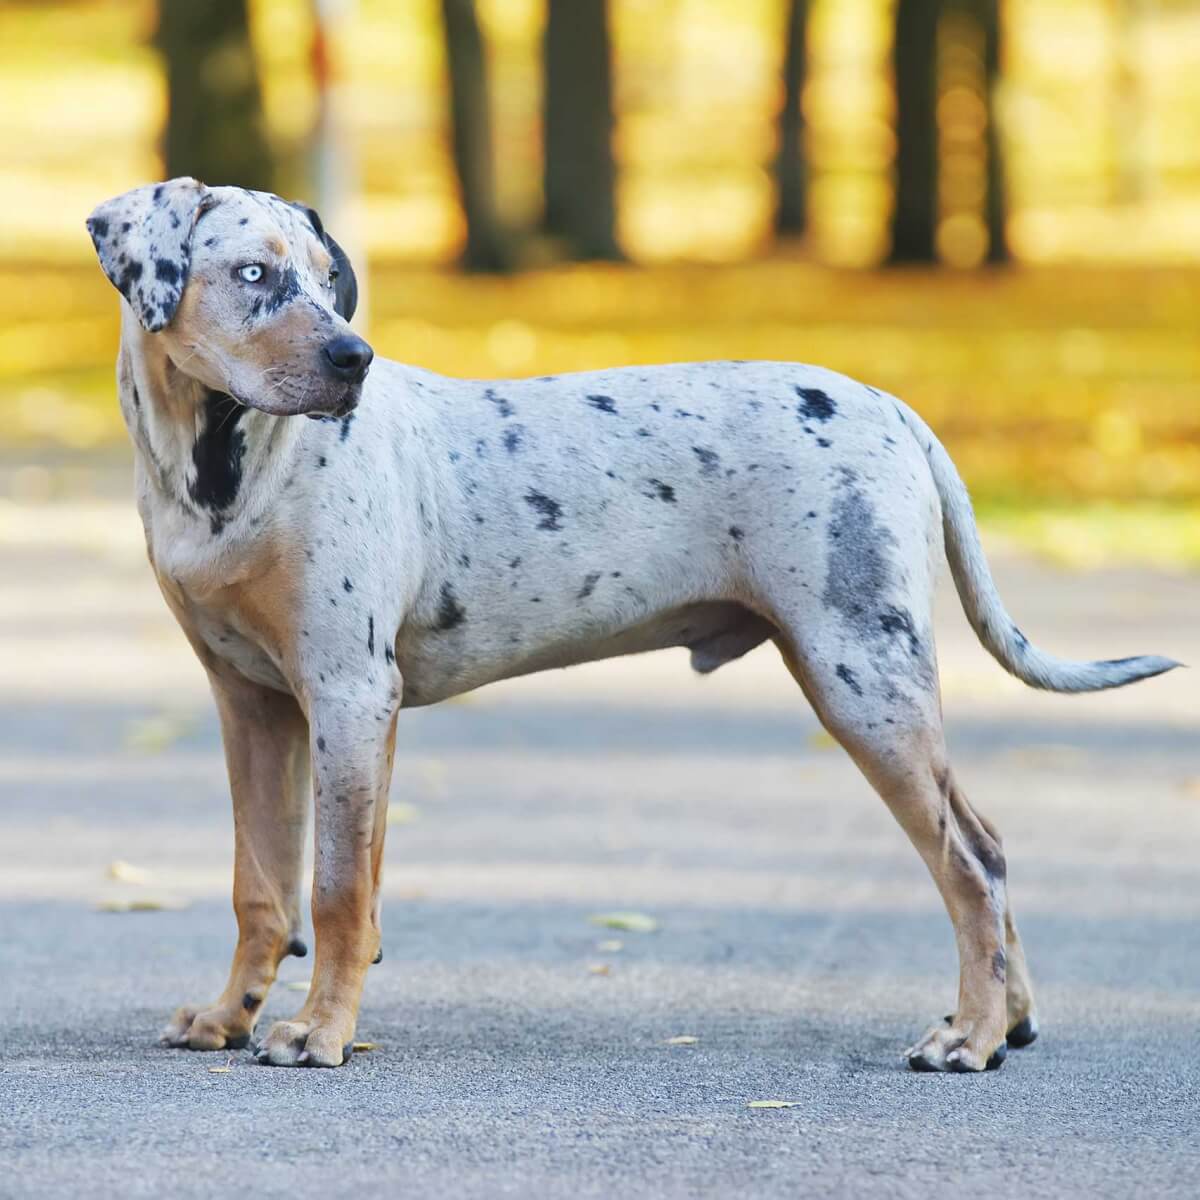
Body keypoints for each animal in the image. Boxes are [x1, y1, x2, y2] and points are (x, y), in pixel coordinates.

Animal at [88, 180, 1176, 1080]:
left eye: (328, 280)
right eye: (253, 274)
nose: (354, 359)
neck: (227, 473)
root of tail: (893, 409)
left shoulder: (351, 698)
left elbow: (339, 889)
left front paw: (319, 1032)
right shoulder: (257, 707)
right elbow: (263, 888)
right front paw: (228, 1017)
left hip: (864, 681)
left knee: (970, 864)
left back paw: (970, 1038)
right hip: (876, 684)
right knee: (988, 846)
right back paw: (1007, 1020)